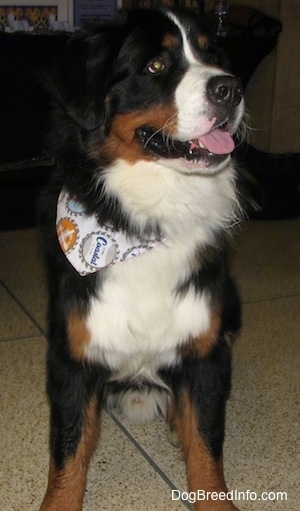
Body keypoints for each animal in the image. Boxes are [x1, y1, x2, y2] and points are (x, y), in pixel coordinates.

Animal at [38, 8, 245, 511]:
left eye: (212, 55)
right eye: (155, 65)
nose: (230, 88)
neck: (146, 223)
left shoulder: (206, 352)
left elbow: (207, 441)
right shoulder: (71, 357)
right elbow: (68, 450)